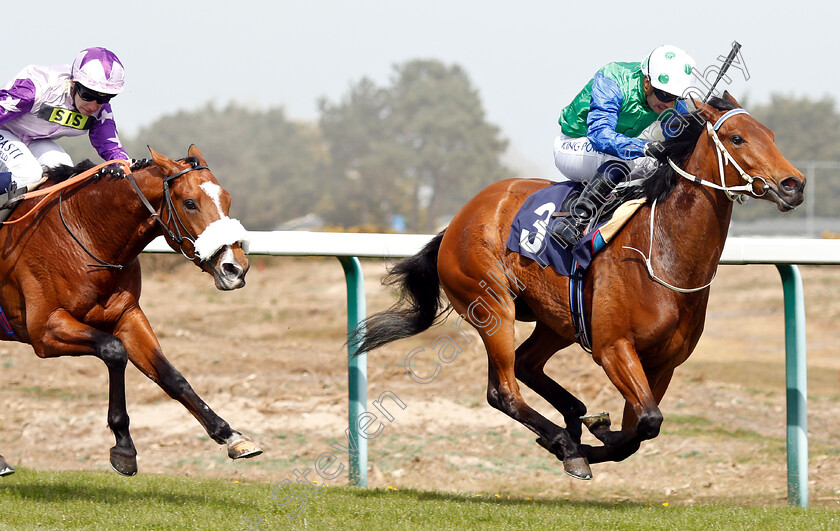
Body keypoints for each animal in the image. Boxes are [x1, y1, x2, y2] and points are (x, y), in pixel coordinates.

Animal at [0, 145, 260, 478]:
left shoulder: (127, 317)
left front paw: (231, 436)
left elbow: (170, 375)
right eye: (189, 203)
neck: (87, 233)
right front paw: (124, 446)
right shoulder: (44, 330)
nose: (235, 268)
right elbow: (114, 350)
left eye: (226, 199)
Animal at [358, 93, 804, 480]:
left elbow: (639, 431)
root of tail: (457, 220)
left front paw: (597, 433)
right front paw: (585, 441)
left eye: (771, 134)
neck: (664, 254)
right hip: (493, 306)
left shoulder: (664, 364)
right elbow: (648, 421)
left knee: (526, 364)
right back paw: (563, 439)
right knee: (503, 390)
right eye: (737, 138)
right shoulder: (614, 348)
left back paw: (573, 418)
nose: (793, 184)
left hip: (557, 320)